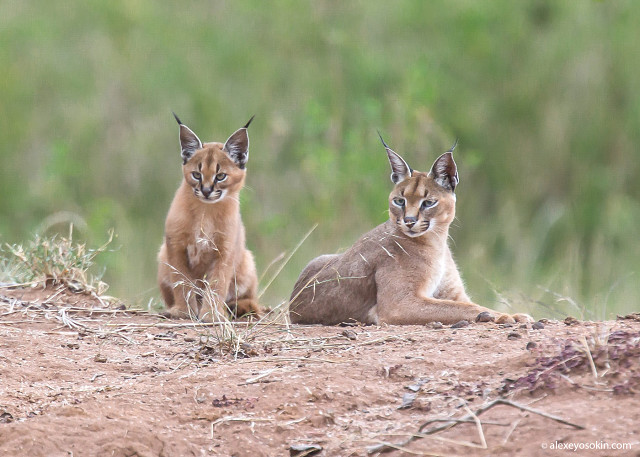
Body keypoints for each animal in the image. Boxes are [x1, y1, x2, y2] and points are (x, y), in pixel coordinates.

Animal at [158, 114, 260, 320]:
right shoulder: (176, 245)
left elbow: (217, 284)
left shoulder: (225, 250)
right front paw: (183, 311)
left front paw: (211, 315)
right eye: (196, 175)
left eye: (220, 176)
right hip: (162, 255)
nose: (206, 191)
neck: (205, 212)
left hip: (247, 261)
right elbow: (181, 281)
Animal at [290, 135, 528, 324]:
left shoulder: (453, 292)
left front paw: (513, 314)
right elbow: (460, 308)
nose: (409, 220)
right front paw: (503, 316)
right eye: (399, 201)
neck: (437, 241)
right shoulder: (399, 304)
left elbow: (465, 303)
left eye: (428, 203)